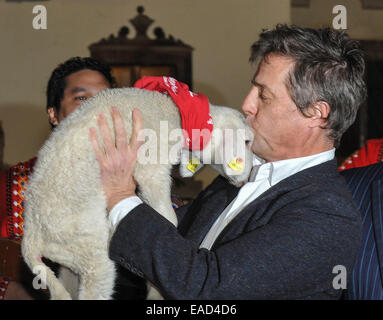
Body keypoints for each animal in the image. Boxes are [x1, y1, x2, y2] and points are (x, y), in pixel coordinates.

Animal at [21, 86, 255, 298]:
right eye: (246, 141)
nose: (248, 175)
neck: (177, 112)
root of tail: (31, 236)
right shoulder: (151, 165)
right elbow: (167, 215)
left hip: (71, 259)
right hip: (90, 252)